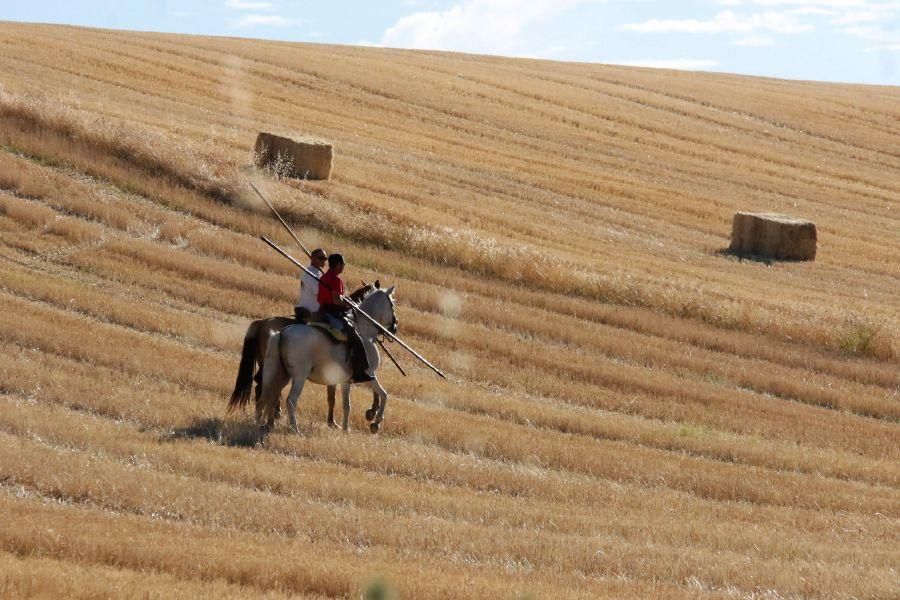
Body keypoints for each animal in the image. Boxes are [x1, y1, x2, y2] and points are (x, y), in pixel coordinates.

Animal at [253, 288, 394, 434]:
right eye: (392, 305)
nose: (394, 327)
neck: (364, 332)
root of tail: (281, 334)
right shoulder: (369, 375)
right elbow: (384, 394)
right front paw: (375, 422)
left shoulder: (346, 381)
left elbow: (346, 405)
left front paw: (345, 429)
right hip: (299, 377)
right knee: (290, 400)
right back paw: (295, 429)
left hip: (282, 375)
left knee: (271, 395)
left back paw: (266, 424)